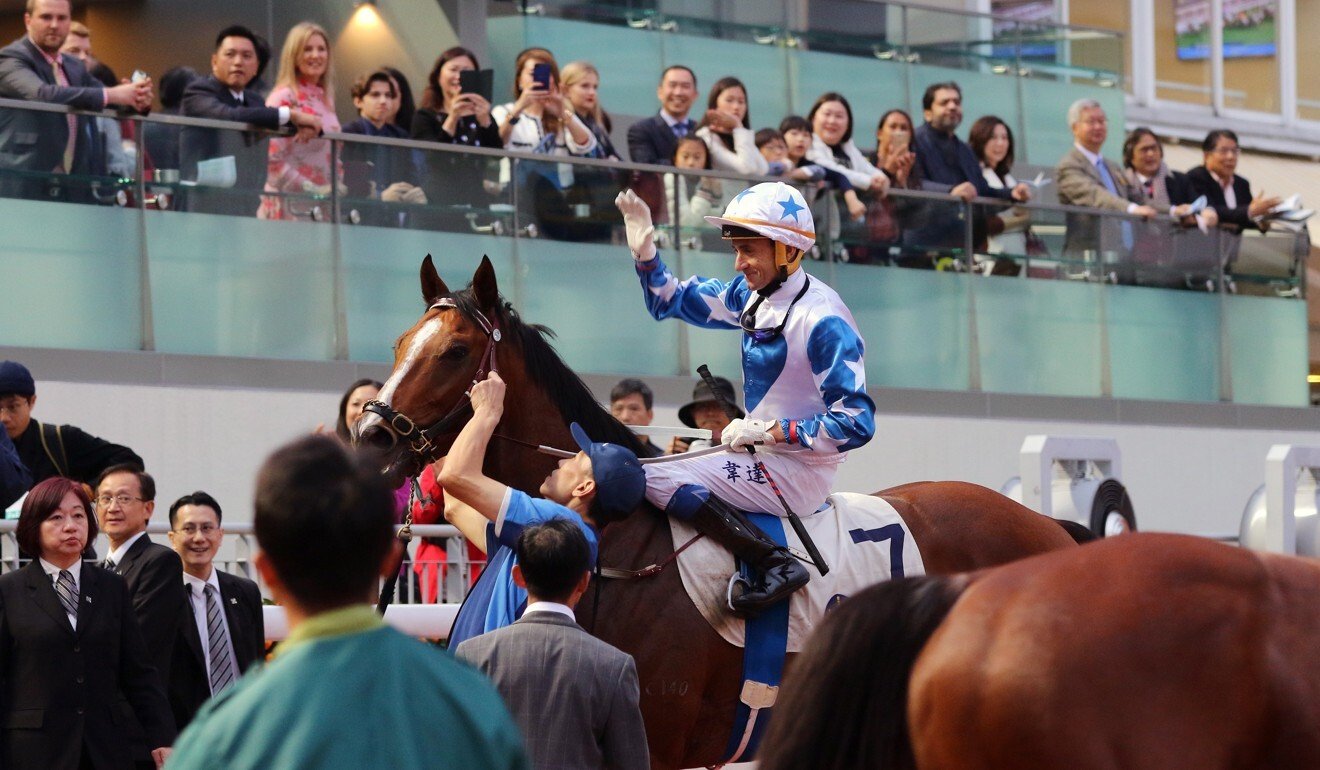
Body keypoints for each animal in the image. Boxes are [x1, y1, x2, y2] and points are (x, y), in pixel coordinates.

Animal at [356, 256, 1077, 766]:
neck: (611, 543)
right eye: (397, 345)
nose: (370, 438)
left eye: (453, 352)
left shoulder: (652, 741)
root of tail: (1048, 526)